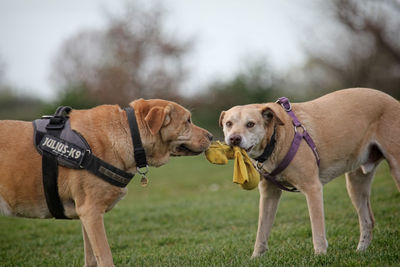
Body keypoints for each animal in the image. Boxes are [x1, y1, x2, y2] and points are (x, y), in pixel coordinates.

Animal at [0, 99, 212, 266]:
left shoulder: (85, 214)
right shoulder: (91, 211)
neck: (129, 133)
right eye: (188, 121)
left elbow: (91, 258)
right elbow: (105, 256)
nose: (211, 136)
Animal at [219, 88, 400, 258]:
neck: (277, 136)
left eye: (250, 124)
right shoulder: (269, 193)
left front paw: (320, 255)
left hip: (396, 168)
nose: (234, 139)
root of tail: (392, 100)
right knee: (368, 220)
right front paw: (256, 257)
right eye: (228, 124)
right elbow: (262, 230)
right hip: (355, 183)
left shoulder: (313, 188)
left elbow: (317, 229)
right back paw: (360, 251)